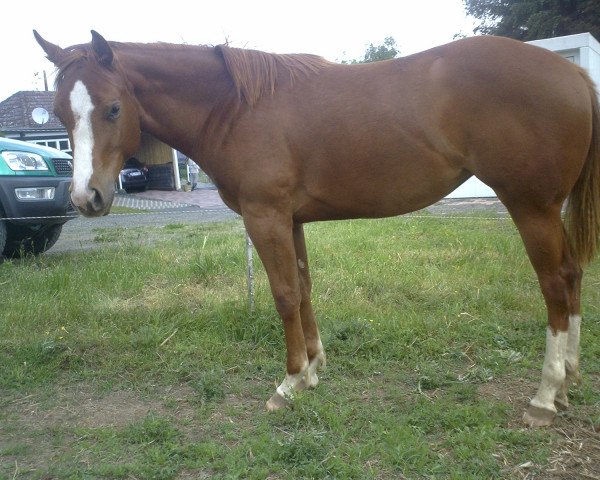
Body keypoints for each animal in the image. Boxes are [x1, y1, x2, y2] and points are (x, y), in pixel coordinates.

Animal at [35, 31, 596, 428]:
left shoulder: (265, 217)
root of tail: (574, 73)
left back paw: (545, 396)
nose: (86, 198)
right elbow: (304, 289)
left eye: (113, 107)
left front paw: (288, 384)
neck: (236, 108)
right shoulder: (292, 220)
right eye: (60, 112)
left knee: (554, 285)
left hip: (531, 207)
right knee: (572, 277)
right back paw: (569, 380)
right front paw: (313, 370)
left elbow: (284, 294)